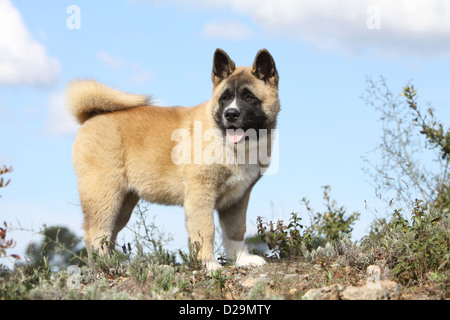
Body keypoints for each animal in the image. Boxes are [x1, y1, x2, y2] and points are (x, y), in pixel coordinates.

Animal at [65, 48, 280, 270]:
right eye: (224, 98)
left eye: (249, 97)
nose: (230, 114)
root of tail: (91, 117)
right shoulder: (200, 195)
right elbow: (206, 230)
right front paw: (208, 264)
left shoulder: (237, 199)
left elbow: (236, 231)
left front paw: (241, 259)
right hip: (104, 196)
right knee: (95, 233)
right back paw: (105, 266)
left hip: (122, 203)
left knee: (110, 233)